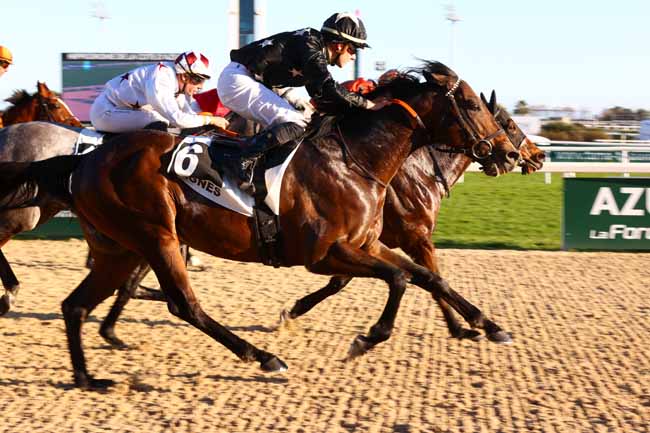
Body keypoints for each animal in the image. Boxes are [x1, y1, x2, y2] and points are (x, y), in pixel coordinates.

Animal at [0, 61, 520, 388]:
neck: (355, 159)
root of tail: (83, 159)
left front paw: (488, 325)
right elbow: (398, 278)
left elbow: (428, 276)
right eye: (474, 105)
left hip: (119, 245)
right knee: (184, 305)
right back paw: (262, 357)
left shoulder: (370, 243)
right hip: (154, 233)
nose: (511, 154)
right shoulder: (324, 252)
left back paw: (87, 376)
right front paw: (366, 338)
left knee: (75, 305)